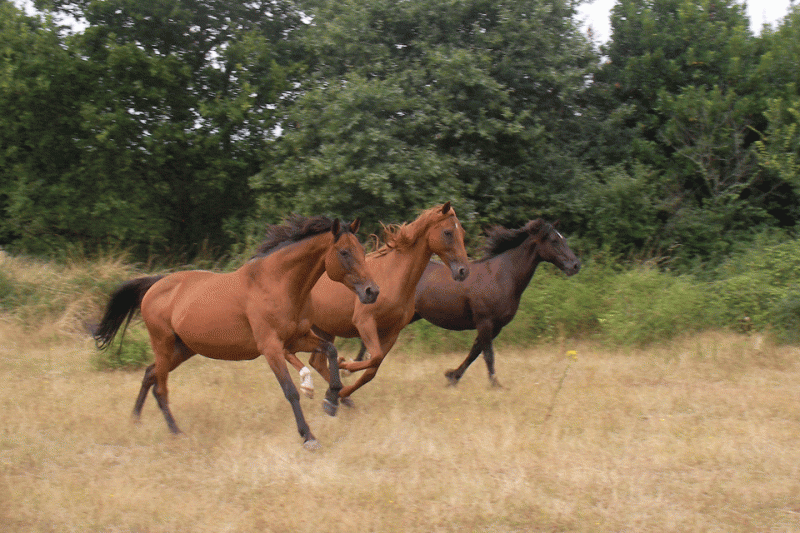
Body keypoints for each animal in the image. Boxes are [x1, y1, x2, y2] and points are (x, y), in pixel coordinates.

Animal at [92, 216, 380, 448]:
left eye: (363, 250)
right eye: (344, 252)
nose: (372, 291)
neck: (278, 283)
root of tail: (156, 284)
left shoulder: (297, 339)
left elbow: (330, 351)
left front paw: (331, 400)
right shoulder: (271, 347)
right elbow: (290, 391)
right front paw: (309, 437)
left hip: (182, 349)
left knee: (149, 374)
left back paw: (135, 420)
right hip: (163, 344)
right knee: (160, 389)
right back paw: (176, 432)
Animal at [358, 218, 580, 384]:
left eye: (563, 238)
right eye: (554, 240)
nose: (575, 265)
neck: (501, 275)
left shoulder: (495, 326)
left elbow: (475, 351)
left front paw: (452, 376)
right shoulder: (485, 321)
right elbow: (488, 355)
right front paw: (495, 385)